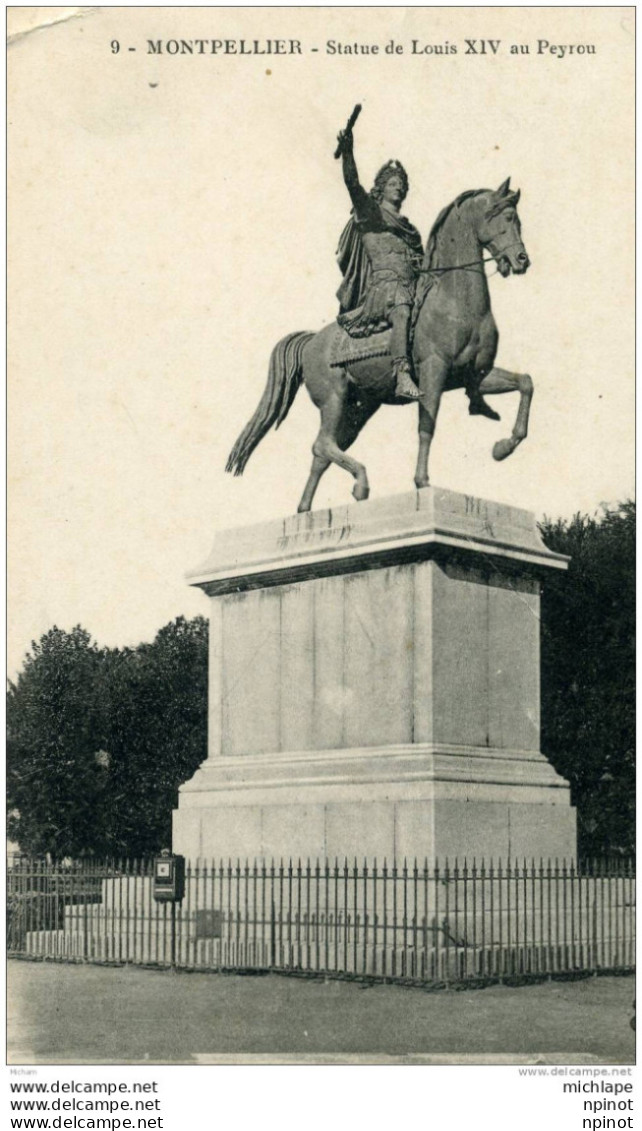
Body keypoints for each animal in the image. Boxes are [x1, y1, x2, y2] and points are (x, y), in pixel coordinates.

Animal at [226, 176, 531, 513]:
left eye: (518, 220)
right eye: (507, 218)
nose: (522, 261)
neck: (455, 302)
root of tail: (311, 342)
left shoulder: (475, 375)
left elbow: (526, 383)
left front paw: (503, 447)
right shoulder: (433, 373)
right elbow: (426, 427)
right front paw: (422, 482)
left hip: (359, 408)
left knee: (323, 452)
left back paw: (304, 511)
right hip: (334, 398)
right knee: (322, 444)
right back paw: (360, 483)